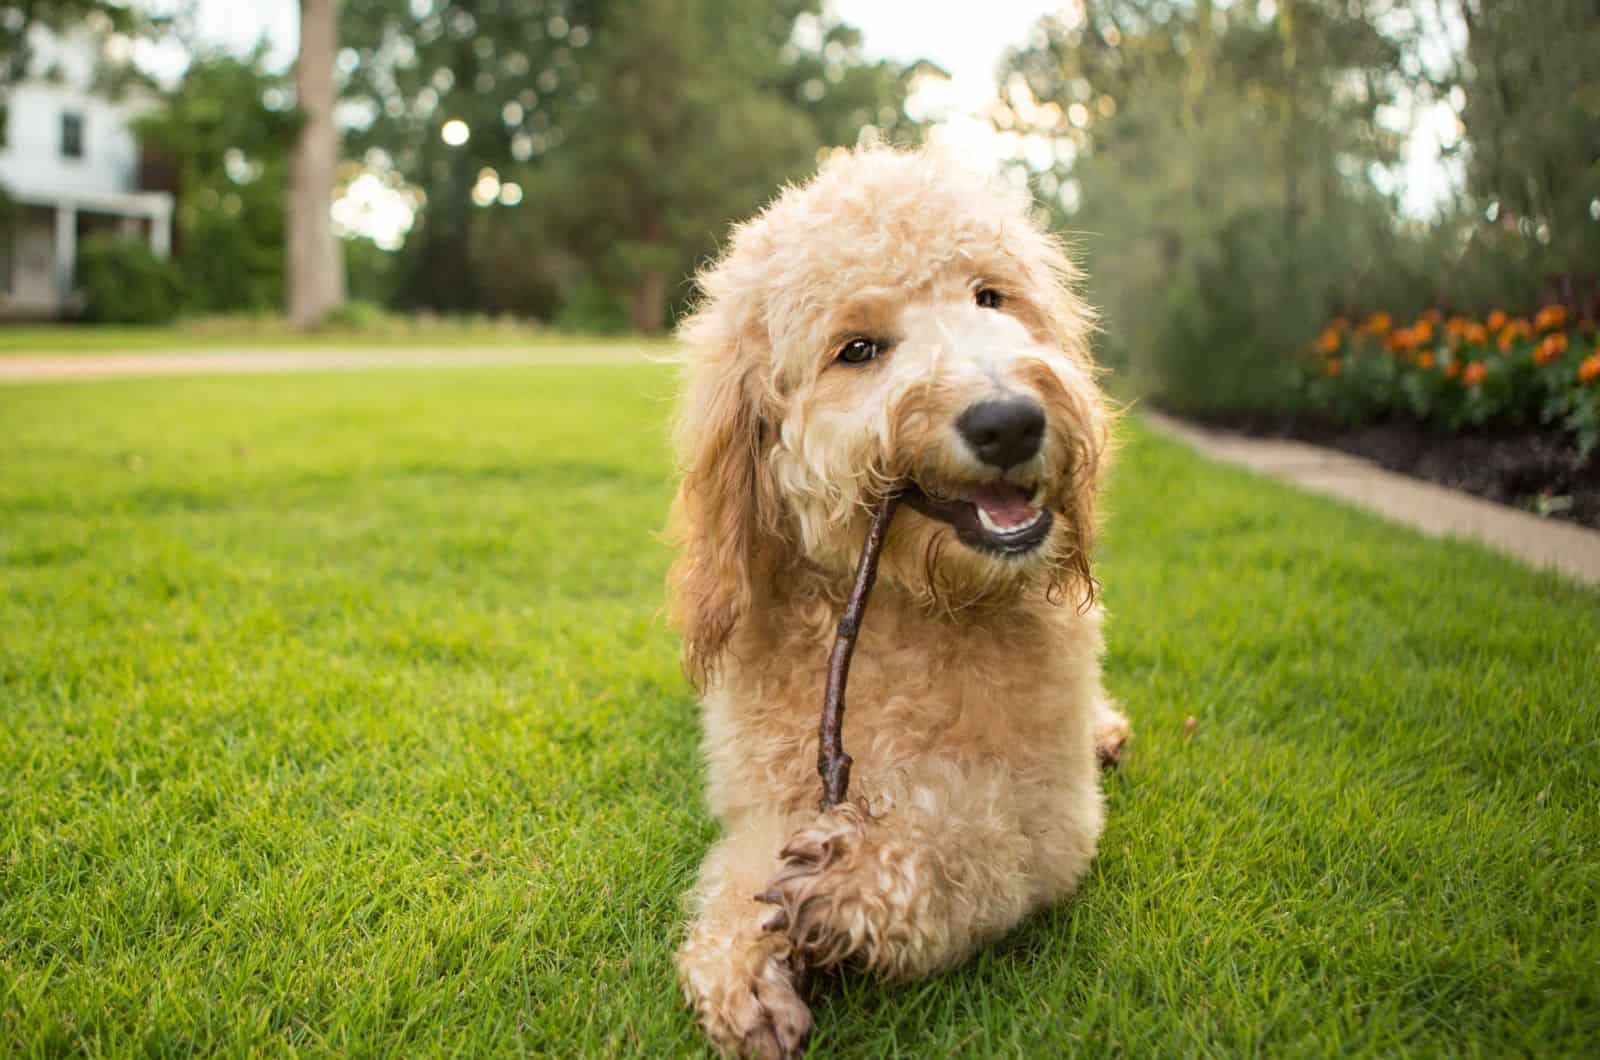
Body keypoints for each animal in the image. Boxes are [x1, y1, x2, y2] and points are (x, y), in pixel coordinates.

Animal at [662, 149, 1126, 1060]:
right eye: (859, 350)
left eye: (991, 297)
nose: (1009, 421)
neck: (908, 609)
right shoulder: (767, 798)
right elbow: (742, 872)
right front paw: (742, 962)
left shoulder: (1052, 811)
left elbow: (978, 840)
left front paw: (855, 881)